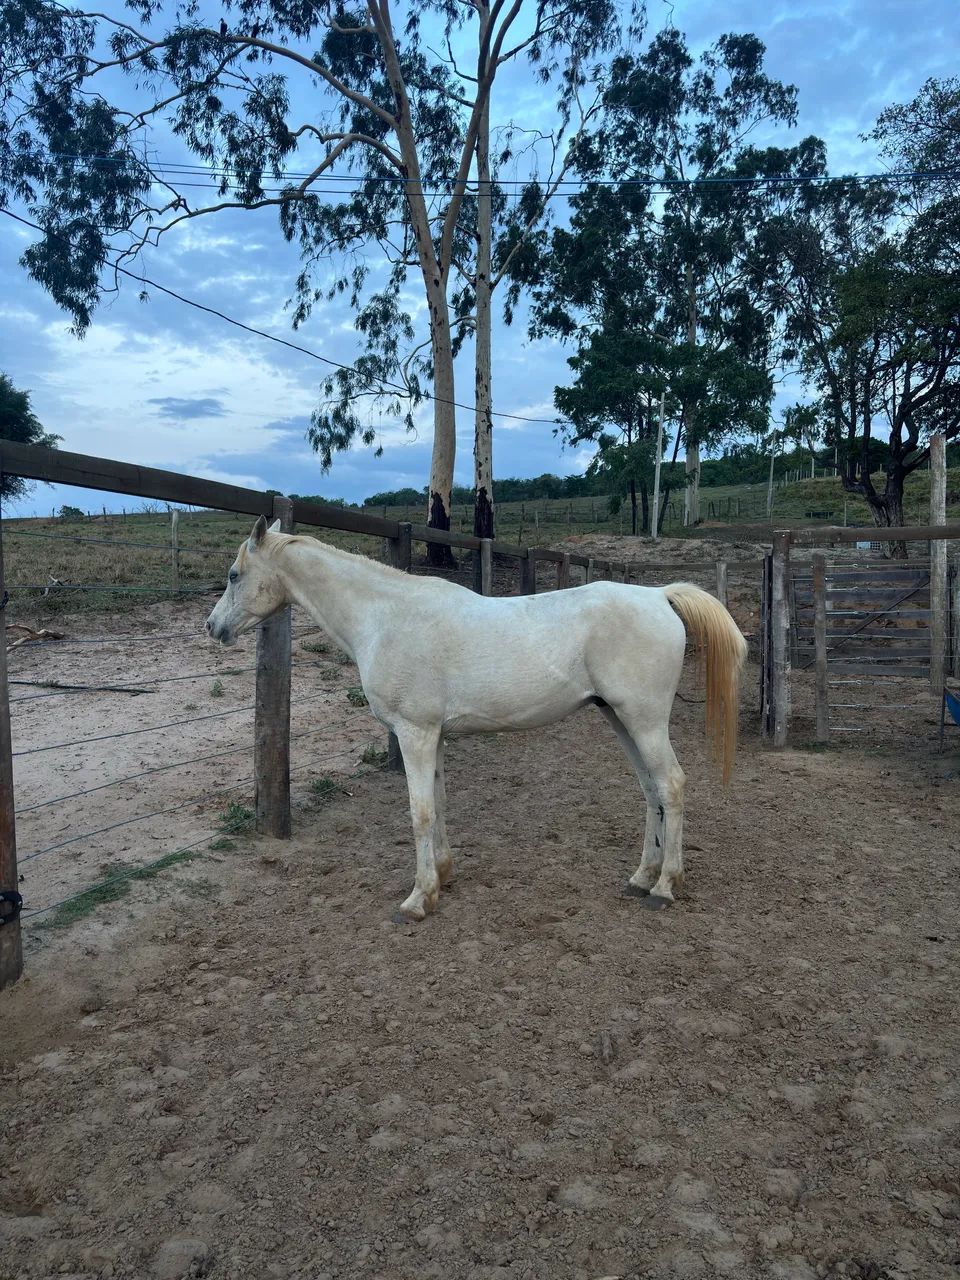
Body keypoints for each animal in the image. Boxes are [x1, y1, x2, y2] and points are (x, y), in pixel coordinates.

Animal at [206, 517, 747, 921]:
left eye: (233, 575)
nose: (213, 627)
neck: (386, 617)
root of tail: (658, 596)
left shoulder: (415, 734)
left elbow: (420, 812)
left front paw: (417, 899)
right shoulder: (434, 736)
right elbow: (440, 804)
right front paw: (442, 878)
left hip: (644, 721)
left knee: (671, 785)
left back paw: (665, 886)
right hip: (621, 720)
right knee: (651, 791)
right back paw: (641, 878)